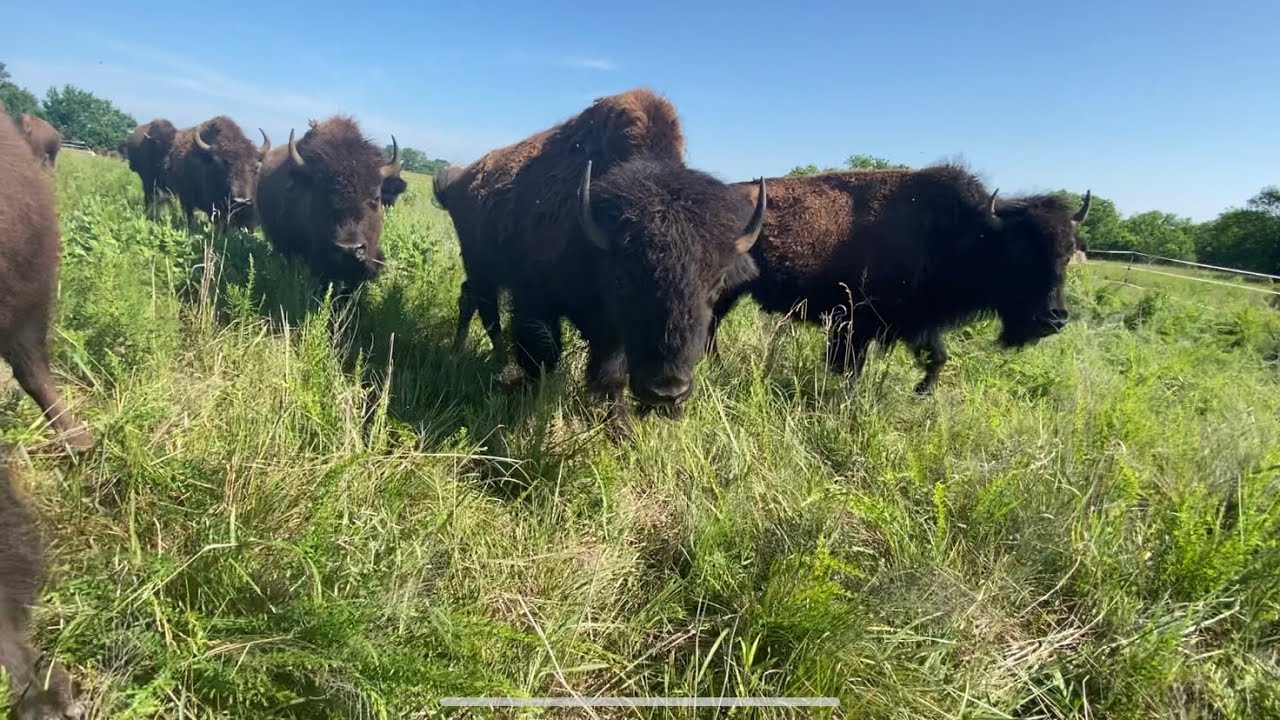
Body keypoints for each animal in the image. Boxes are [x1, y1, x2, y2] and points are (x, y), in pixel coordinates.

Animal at [434, 88, 764, 432]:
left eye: (716, 285)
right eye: (623, 279)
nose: (667, 390)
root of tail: (457, 181)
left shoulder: (612, 331)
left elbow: (611, 372)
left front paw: (620, 428)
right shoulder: (535, 300)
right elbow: (543, 354)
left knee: (472, 299)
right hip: (481, 266)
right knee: (485, 309)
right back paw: (490, 359)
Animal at [710, 165, 1091, 394]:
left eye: (1068, 253)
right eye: (1023, 253)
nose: (1054, 319)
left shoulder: (918, 322)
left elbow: (938, 357)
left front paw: (922, 392)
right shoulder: (855, 324)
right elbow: (849, 367)